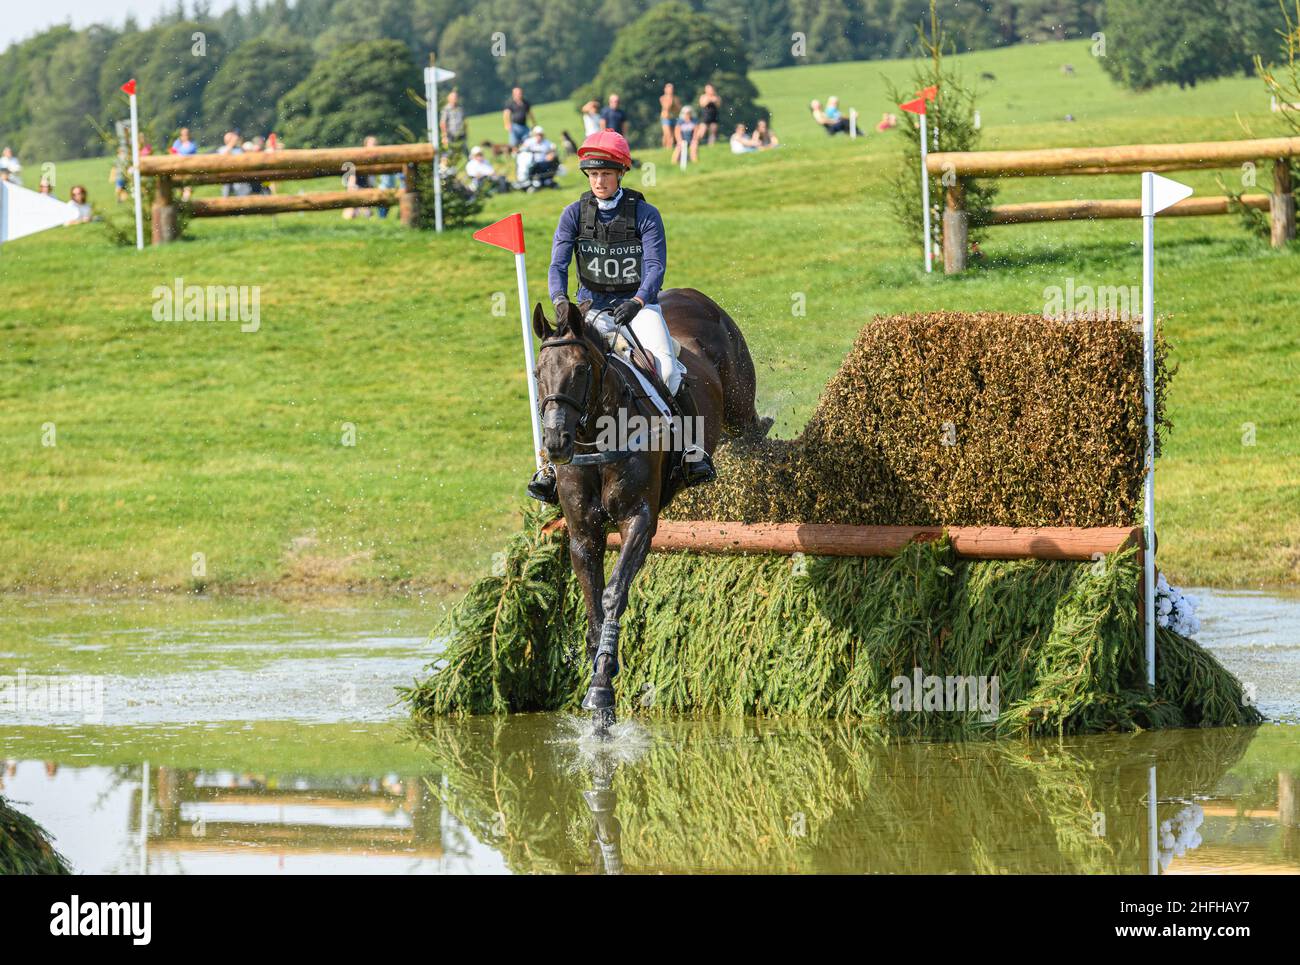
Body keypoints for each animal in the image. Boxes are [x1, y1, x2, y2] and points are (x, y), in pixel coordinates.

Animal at [533, 291, 764, 728]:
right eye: (538, 372)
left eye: (580, 369)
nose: (555, 443)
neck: (598, 437)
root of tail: (693, 296)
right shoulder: (583, 535)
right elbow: (592, 610)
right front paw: (598, 686)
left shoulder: (638, 521)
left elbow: (613, 595)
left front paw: (602, 686)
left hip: (742, 413)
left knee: (760, 440)